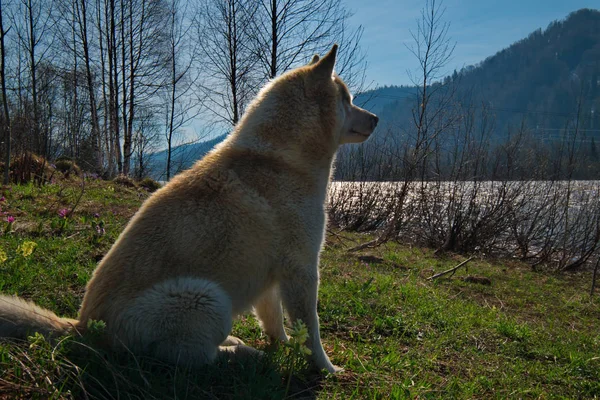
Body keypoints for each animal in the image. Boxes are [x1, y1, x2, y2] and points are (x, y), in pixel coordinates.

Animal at [0, 45, 376, 374]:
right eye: (347, 99)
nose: (375, 118)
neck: (283, 158)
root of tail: (82, 327)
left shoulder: (273, 276)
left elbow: (276, 323)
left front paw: (282, 346)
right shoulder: (302, 270)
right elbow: (311, 331)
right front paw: (326, 368)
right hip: (207, 299)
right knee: (195, 358)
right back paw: (241, 353)